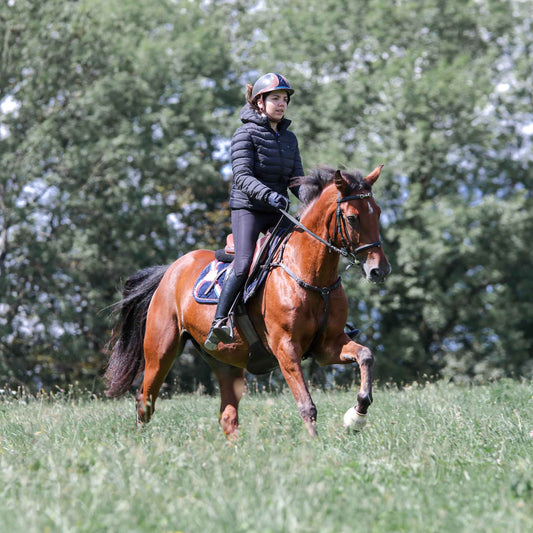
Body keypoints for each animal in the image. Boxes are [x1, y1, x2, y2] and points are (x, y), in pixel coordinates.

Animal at [104, 165, 388, 436]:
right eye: (352, 218)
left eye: (378, 213)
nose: (380, 270)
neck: (314, 278)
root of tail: (170, 270)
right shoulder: (286, 348)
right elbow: (306, 405)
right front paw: (315, 443)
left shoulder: (327, 346)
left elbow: (366, 356)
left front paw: (356, 417)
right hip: (160, 350)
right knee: (145, 400)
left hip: (225, 361)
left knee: (227, 415)